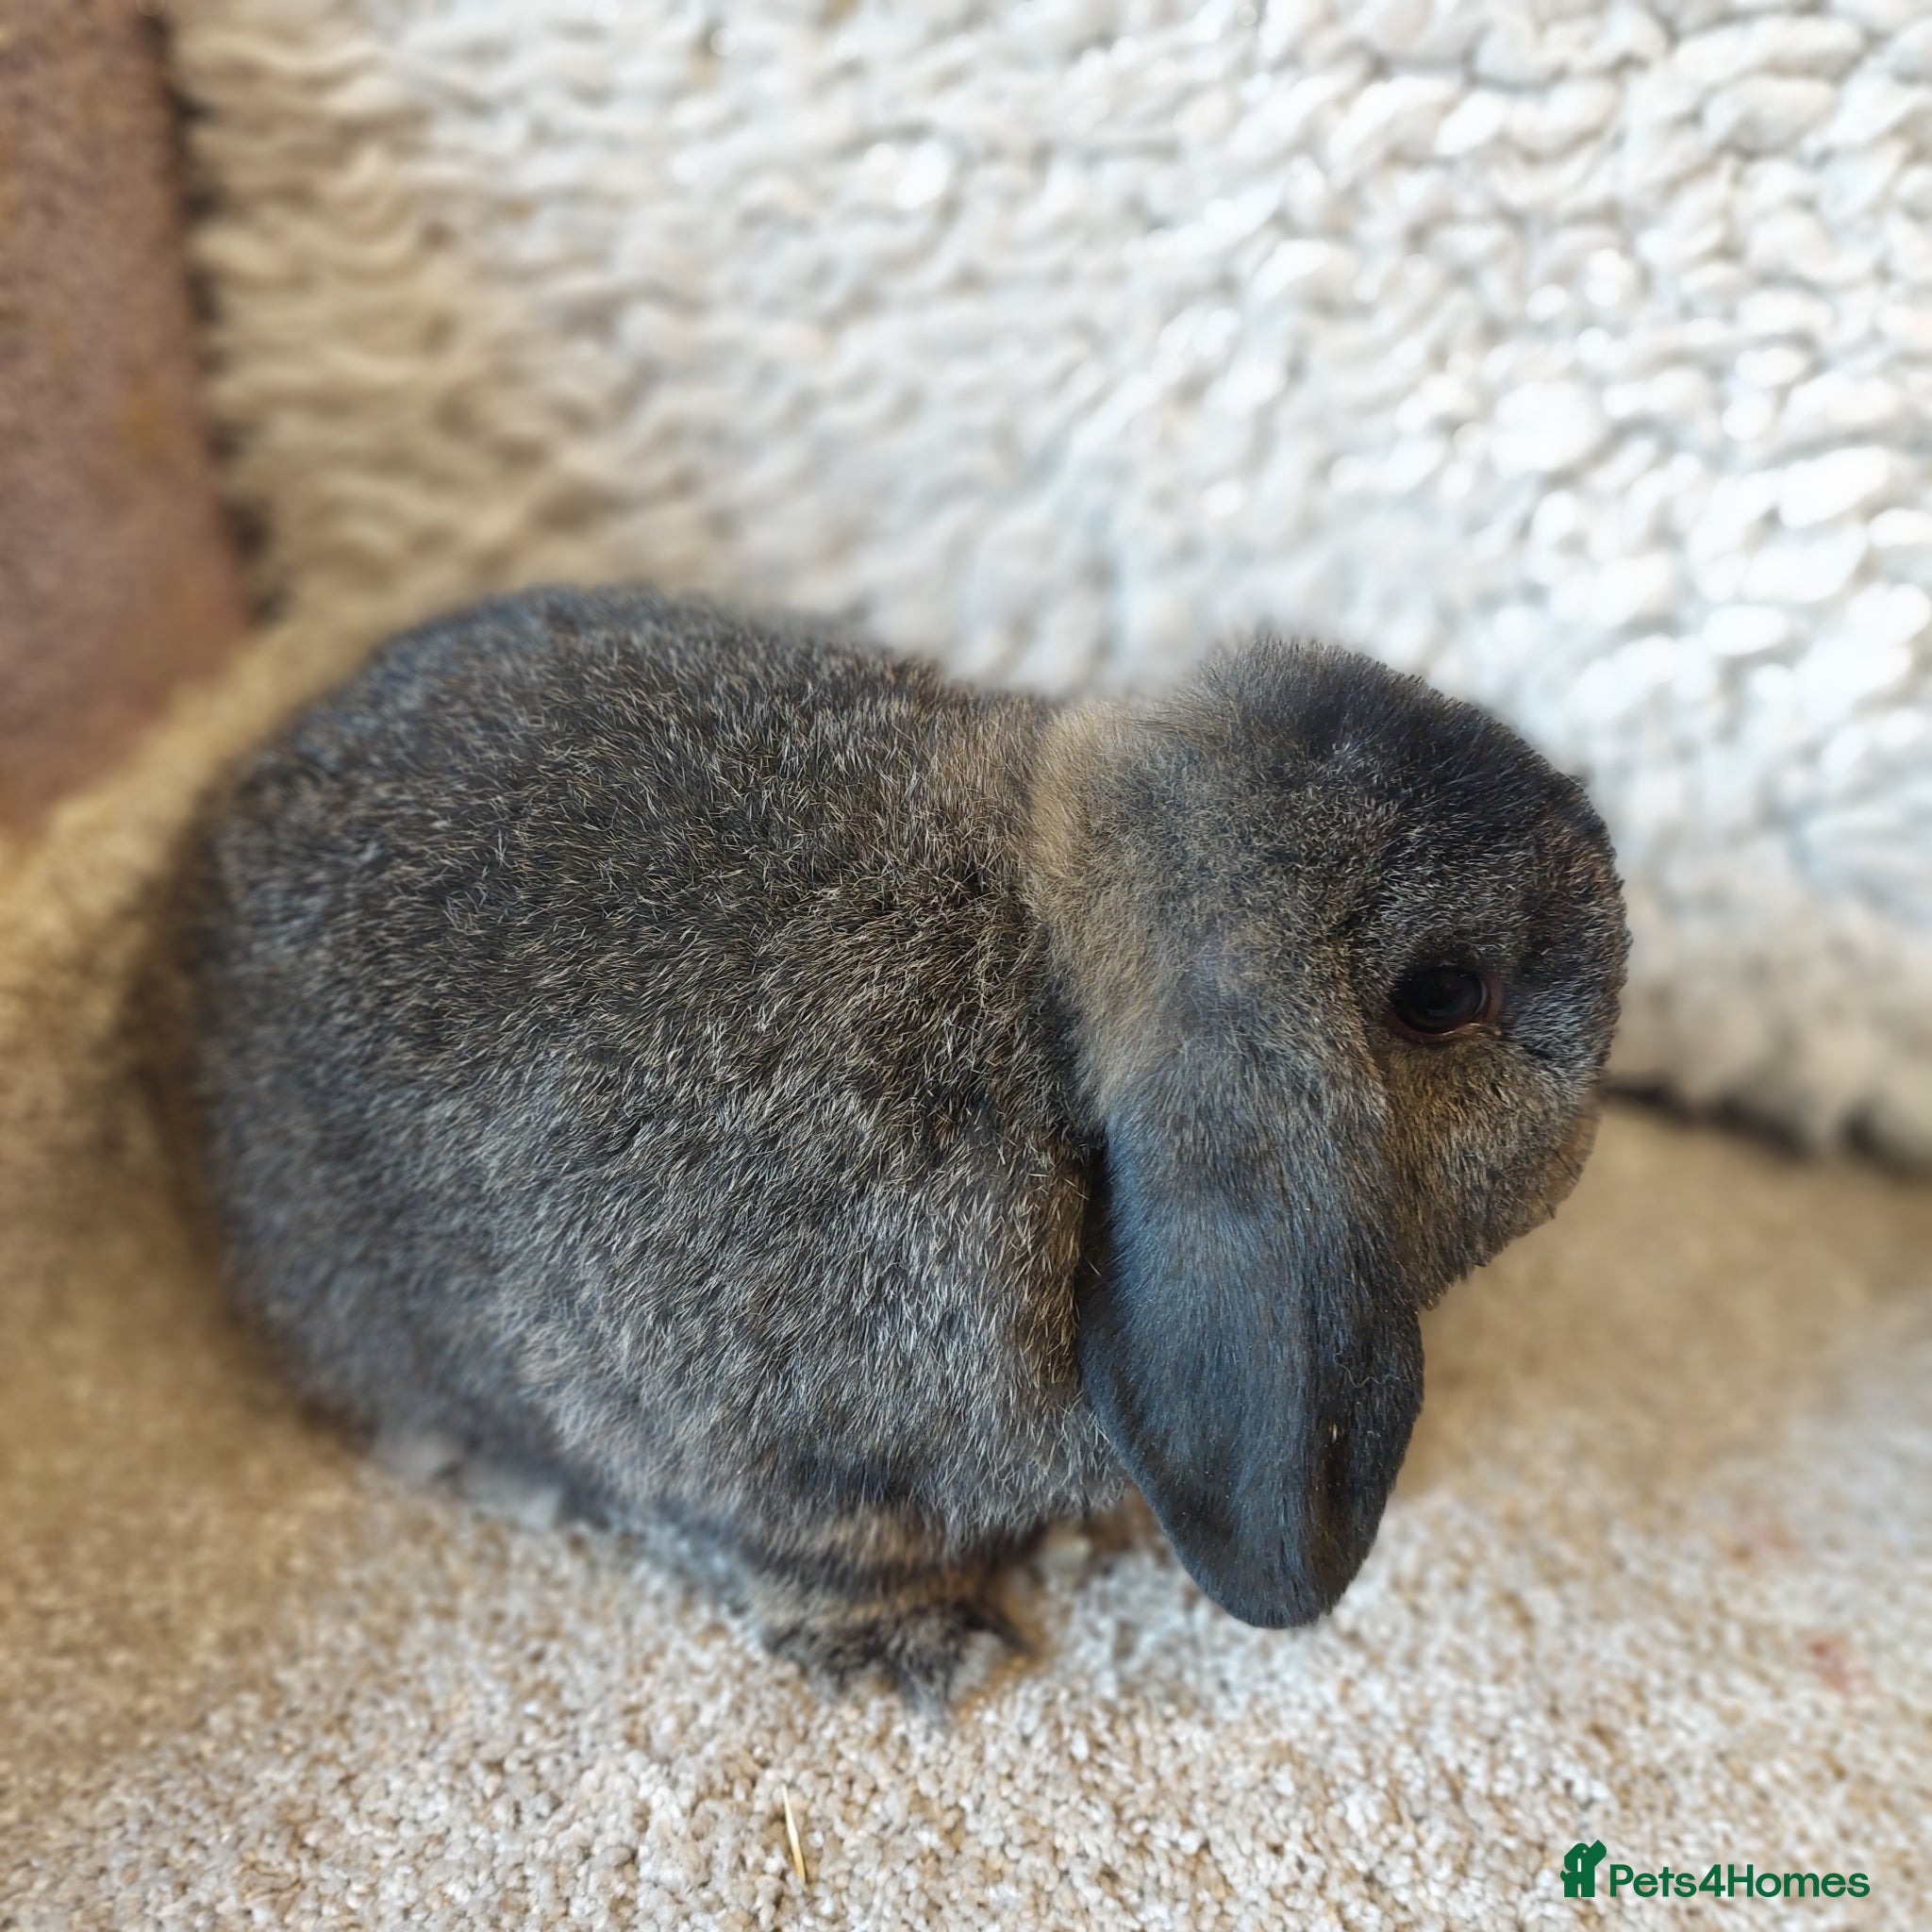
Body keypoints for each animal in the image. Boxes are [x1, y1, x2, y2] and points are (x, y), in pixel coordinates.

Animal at [166, 583, 1626, 1706]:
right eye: (1445, 993)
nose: (1588, 1121)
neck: (1029, 1014)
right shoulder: (762, 1448)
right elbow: (821, 1555)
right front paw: (929, 1652)